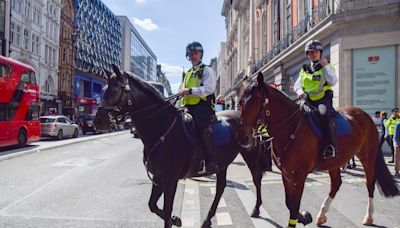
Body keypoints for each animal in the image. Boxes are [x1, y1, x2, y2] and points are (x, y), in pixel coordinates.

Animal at [94, 65, 268, 228]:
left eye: (114, 89)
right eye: (103, 89)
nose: (97, 121)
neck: (162, 129)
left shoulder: (170, 180)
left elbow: (166, 211)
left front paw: (173, 219)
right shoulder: (158, 178)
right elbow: (152, 205)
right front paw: (176, 220)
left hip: (250, 154)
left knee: (256, 178)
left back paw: (256, 209)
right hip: (222, 163)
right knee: (220, 188)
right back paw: (207, 220)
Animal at [238, 72, 400, 226]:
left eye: (254, 101)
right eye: (239, 102)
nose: (242, 137)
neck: (291, 127)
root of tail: (365, 115)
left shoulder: (299, 177)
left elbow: (294, 206)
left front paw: (301, 217)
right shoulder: (286, 174)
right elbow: (289, 204)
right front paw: (305, 217)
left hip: (367, 157)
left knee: (370, 184)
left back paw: (368, 216)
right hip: (335, 162)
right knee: (336, 184)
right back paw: (321, 215)